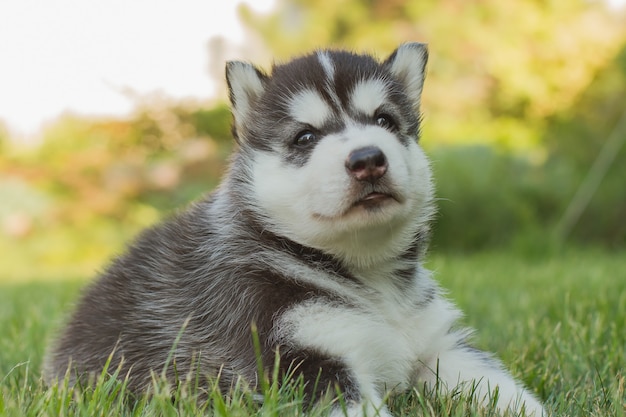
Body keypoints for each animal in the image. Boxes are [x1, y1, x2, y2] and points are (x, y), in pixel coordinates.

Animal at [42, 44, 540, 414]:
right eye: (305, 137)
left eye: (384, 121)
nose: (368, 159)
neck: (369, 281)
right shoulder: (296, 356)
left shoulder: (439, 346)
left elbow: (503, 389)